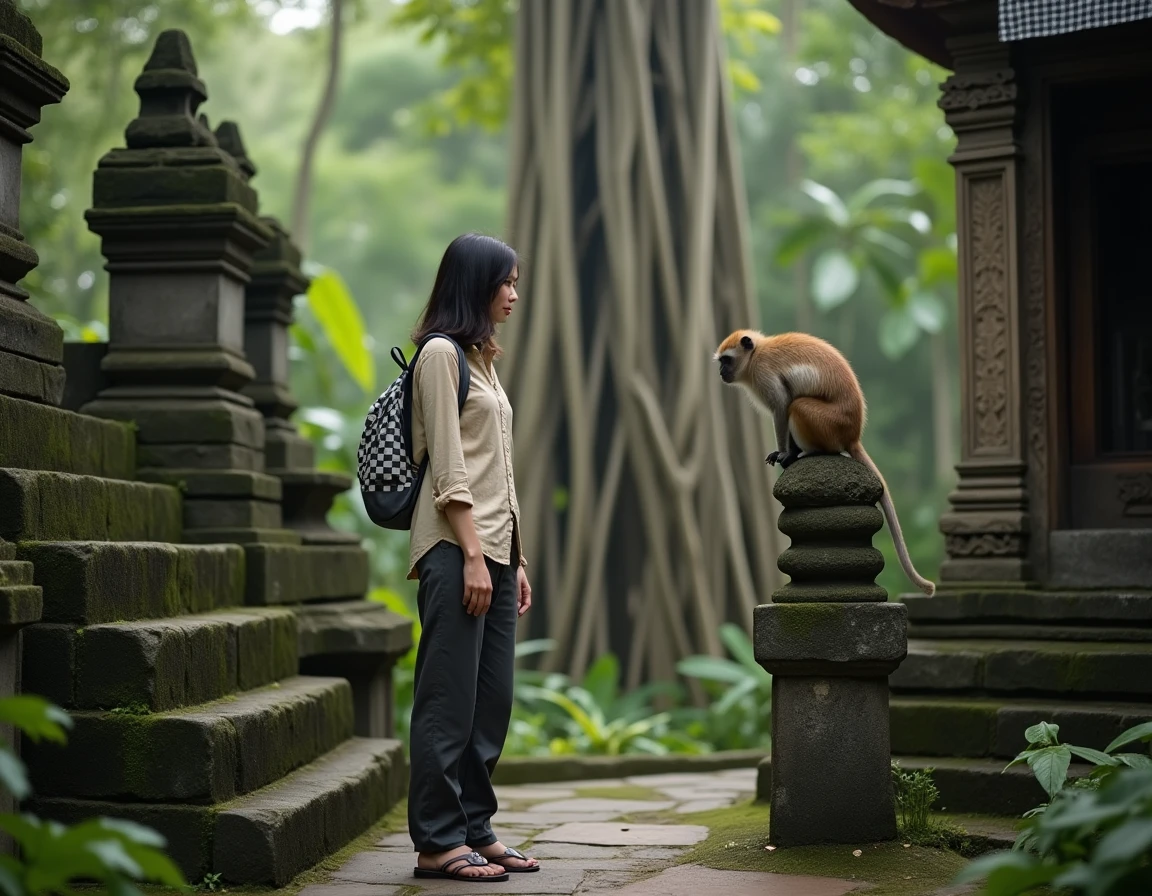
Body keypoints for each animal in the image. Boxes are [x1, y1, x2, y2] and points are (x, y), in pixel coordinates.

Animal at [714, 328, 935, 597]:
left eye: (726, 360)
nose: (721, 372)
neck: (756, 353)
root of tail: (852, 435)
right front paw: (786, 453)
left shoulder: (763, 373)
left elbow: (782, 404)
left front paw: (784, 453)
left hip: (828, 424)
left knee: (797, 405)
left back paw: (809, 452)